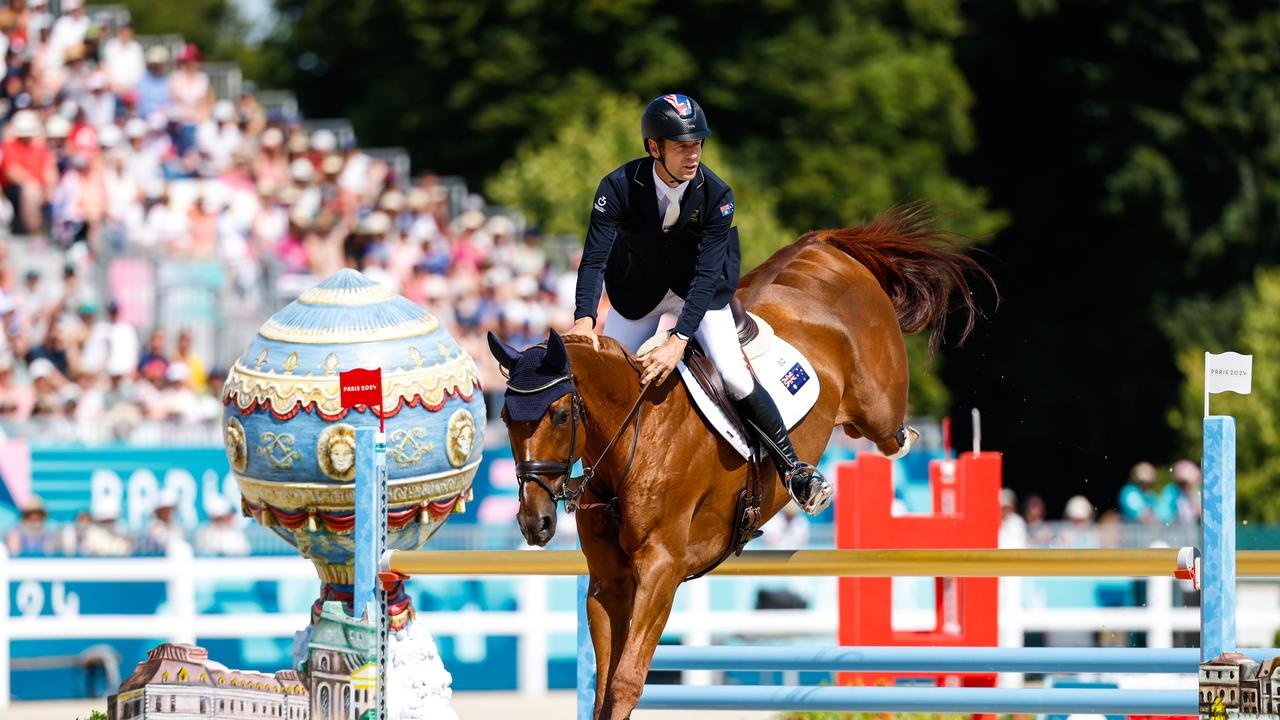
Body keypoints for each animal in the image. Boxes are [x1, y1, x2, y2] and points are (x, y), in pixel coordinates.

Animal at [488, 204, 988, 712]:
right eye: (506, 417)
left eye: (560, 415)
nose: (534, 523)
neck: (634, 438)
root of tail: (821, 246)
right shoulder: (609, 578)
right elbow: (605, 689)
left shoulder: (661, 568)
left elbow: (626, 680)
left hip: (877, 407)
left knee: (890, 435)